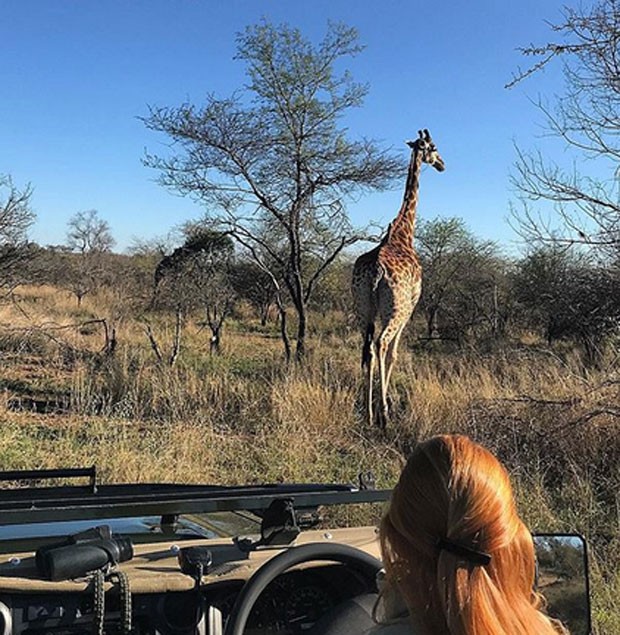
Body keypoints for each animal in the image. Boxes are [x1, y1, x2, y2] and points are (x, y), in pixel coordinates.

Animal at [352, 129, 444, 428]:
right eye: (433, 147)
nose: (442, 164)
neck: (404, 233)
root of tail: (376, 271)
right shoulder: (412, 307)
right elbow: (394, 353)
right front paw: (387, 403)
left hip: (363, 308)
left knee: (368, 349)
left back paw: (368, 411)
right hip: (396, 308)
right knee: (381, 344)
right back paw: (383, 414)